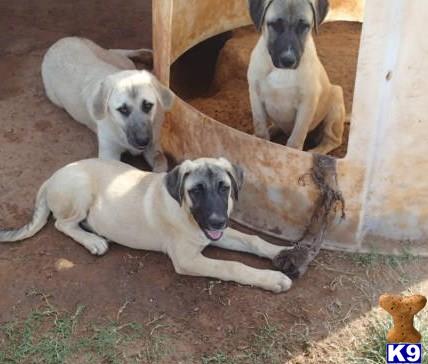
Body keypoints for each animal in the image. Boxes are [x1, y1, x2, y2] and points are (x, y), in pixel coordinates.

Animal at [0, 158, 292, 292]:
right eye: (196, 191)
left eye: (224, 188)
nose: (216, 220)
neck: (187, 213)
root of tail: (51, 178)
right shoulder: (187, 259)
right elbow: (232, 265)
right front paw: (273, 279)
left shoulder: (215, 234)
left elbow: (252, 239)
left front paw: (282, 253)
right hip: (80, 190)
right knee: (63, 224)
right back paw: (94, 240)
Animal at [40, 37, 174, 171]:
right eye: (122, 109)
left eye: (148, 105)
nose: (143, 141)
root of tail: (60, 41)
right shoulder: (109, 154)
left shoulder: (154, 145)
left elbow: (161, 160)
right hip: (54, 98)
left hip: (116, 60)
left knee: (117, 53)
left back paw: (145, 53)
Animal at [247, 0, 344, 154]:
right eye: (275, 25)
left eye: (304, 26)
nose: (288, 60)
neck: (281, 71)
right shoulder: (255, 96)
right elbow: (261, 131)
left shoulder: (307, 104)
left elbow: (295, 140)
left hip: (335, 101)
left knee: (332, 140)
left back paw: (314, 153)